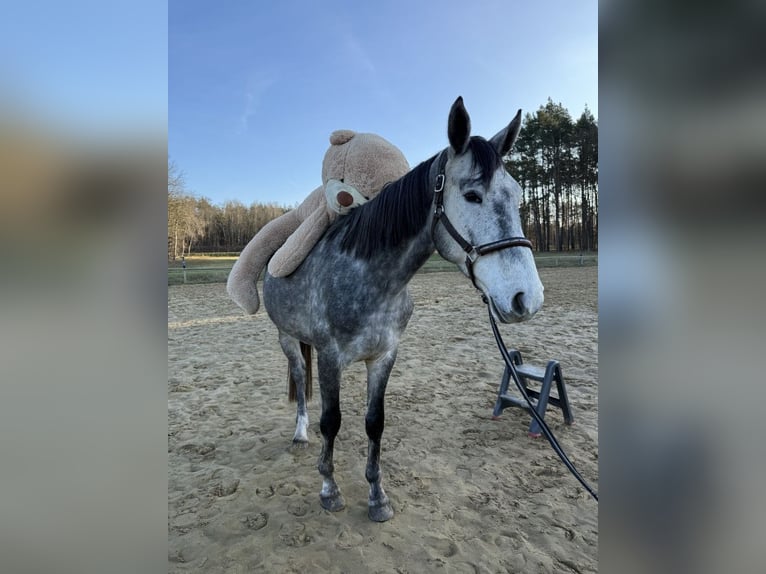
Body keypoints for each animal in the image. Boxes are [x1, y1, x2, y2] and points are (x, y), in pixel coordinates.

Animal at [262, 97, 544, 522]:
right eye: (472, 195)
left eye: (516, 194)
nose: (526, 297)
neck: (369, 278)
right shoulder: (329, 358)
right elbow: (331, 421)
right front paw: (329, 489)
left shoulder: (384, 356)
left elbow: (374, 423)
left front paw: (377, 497)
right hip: (287, 337)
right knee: (299, 376)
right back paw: (299, 434)